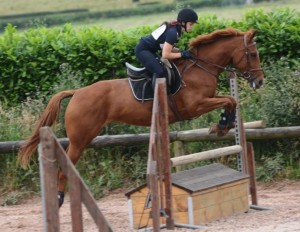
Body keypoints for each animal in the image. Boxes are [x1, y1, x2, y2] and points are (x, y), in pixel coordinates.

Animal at [18, 27, 262, 207]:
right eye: (252, 54)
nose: (259, 82)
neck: (200, 68)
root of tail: (77, 92)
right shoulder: (194, 106)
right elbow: (229, 101)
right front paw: (221, 125)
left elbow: (231, 101)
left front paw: (224, 125)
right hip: (80, 139)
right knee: (64, 168)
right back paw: (59, 199)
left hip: (86, 137)